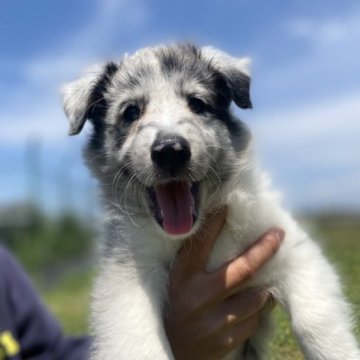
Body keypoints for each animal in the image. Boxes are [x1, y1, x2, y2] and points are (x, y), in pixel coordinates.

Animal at [62, 43, 360, 358]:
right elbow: (141, 345)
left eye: (197, 103)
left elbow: (315, 322)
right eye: (131, 111)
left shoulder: (290, 248)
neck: (190, 234)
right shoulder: (127, 274)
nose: (170, 151)